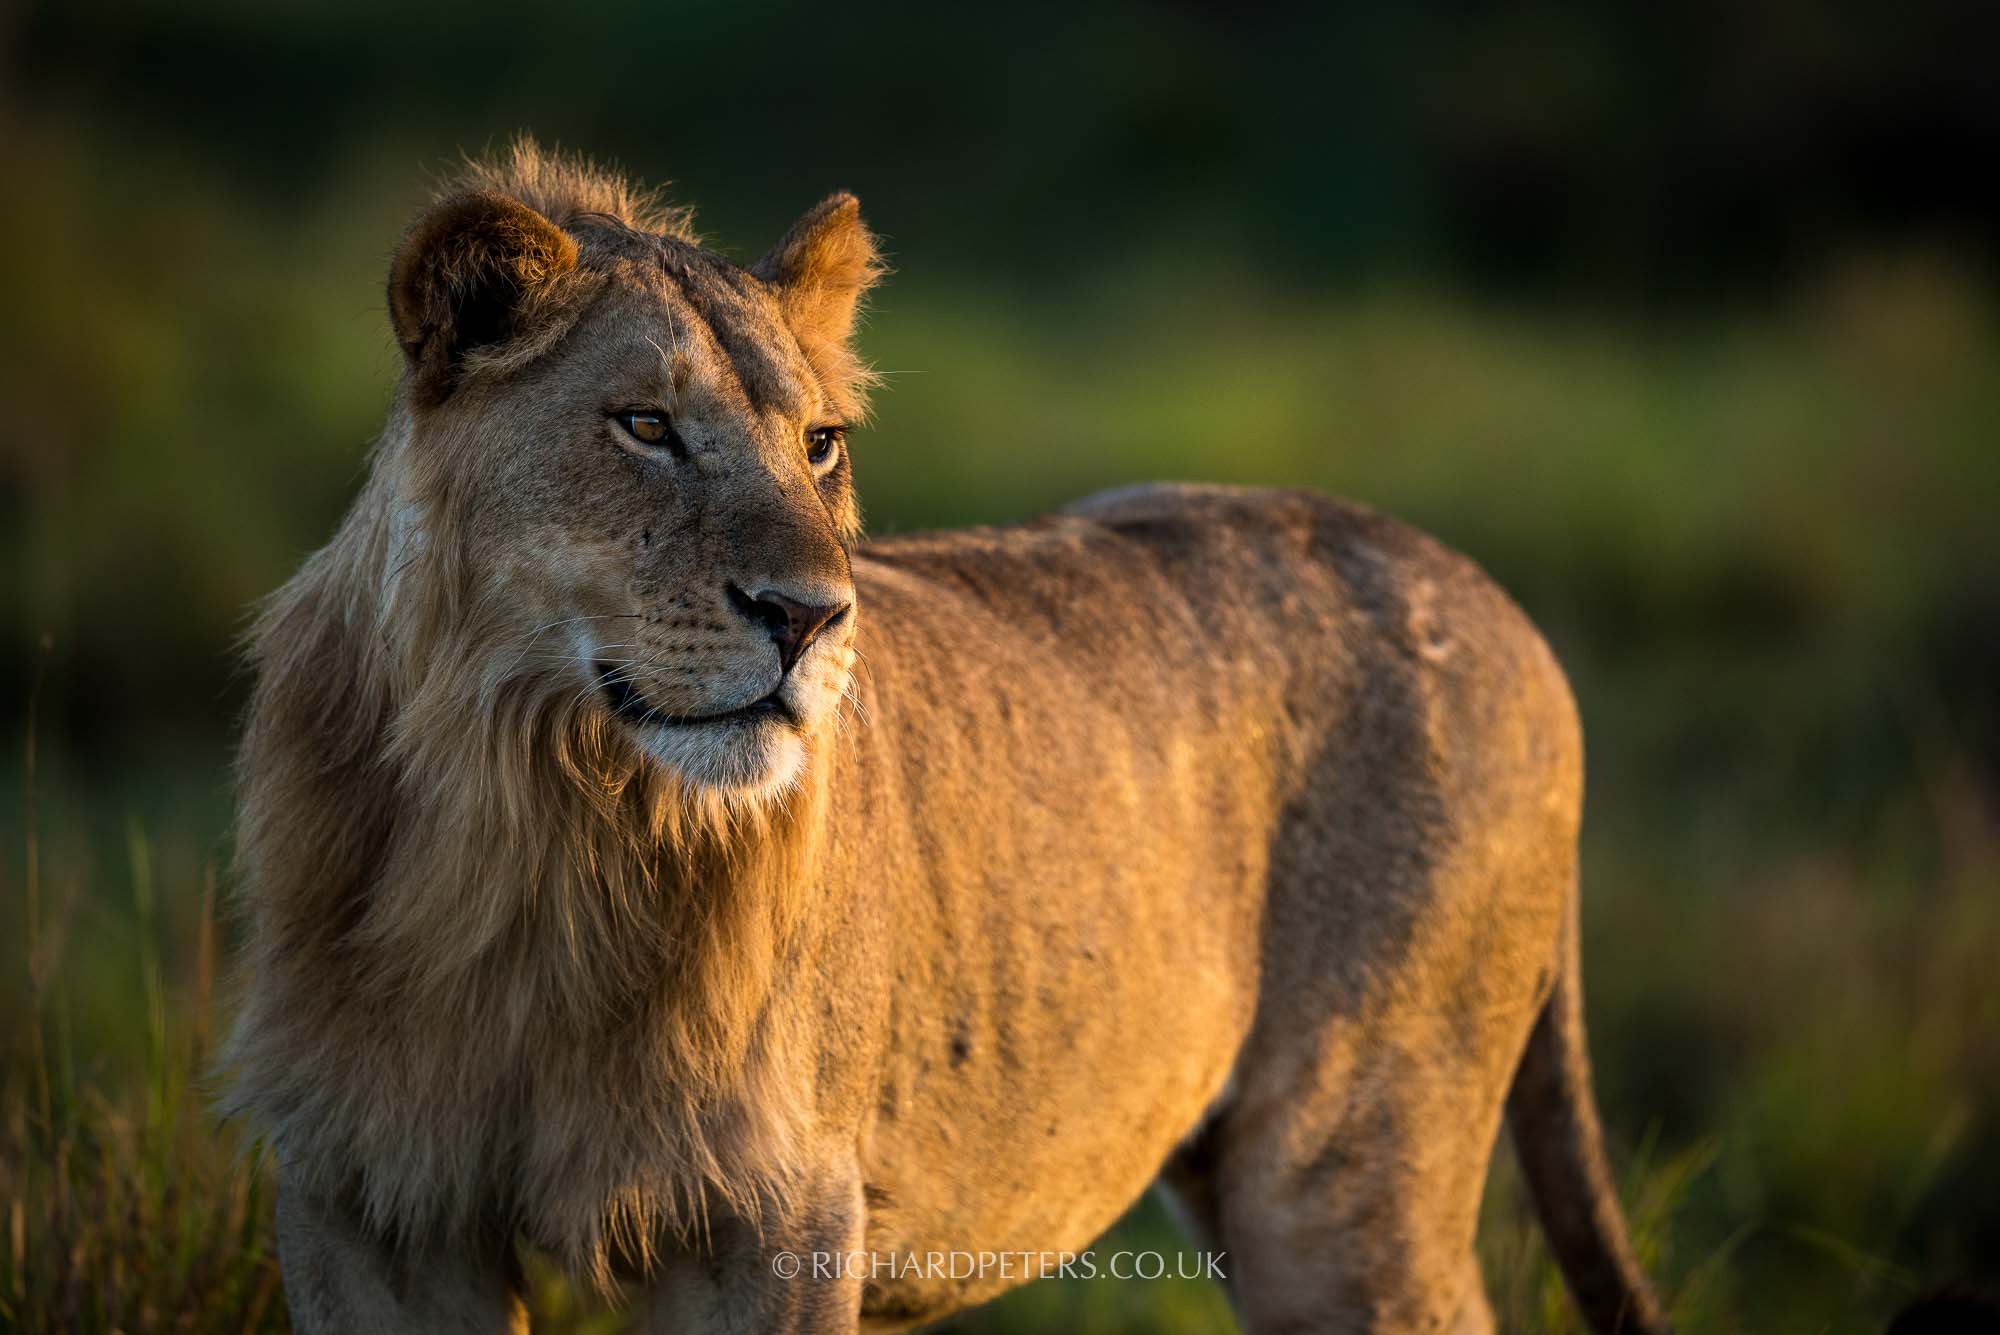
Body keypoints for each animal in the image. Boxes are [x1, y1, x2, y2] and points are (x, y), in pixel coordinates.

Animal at [223, 140, 1672, 1327]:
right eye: (644, 425)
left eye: (819, 443)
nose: (810, 616)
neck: (529, 816)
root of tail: (1499, 604)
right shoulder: (363, 1195)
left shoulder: (778, 1211)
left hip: (1344, 1171)